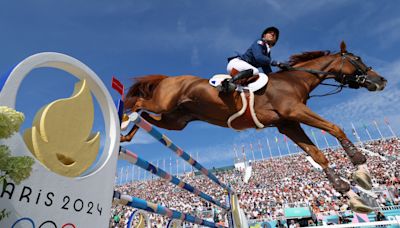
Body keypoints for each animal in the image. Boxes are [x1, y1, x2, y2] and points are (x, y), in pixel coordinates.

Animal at [122, 41, 388, 214]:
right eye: (357, 59)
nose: (382, 81)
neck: (296, 80)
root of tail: (168, 78)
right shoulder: (295, 112)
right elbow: (335, 128)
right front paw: (360, 165)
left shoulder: (288, 123)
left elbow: (316, 154)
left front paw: (350, 191)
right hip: (163, 103)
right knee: (138, 103)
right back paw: (123, 119)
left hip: (175, 121)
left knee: (145, 115)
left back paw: (127, 135)